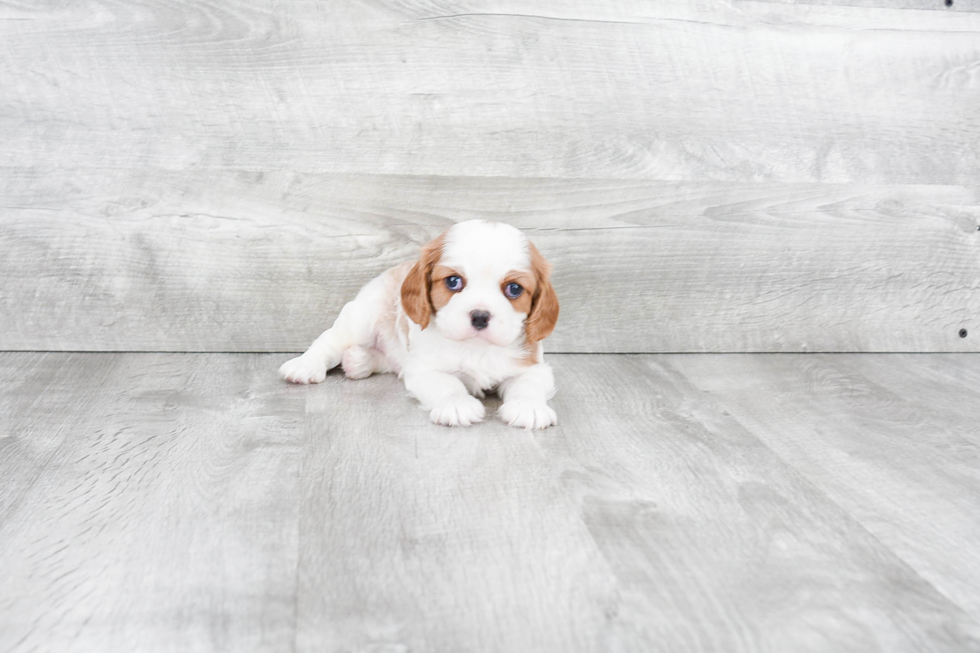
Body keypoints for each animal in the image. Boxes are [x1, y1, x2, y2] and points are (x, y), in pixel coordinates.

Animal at [280, 222, 564, 430]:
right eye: (453, 282)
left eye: (514, 289)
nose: (480, 316)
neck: (475, 348)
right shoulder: (424, 369)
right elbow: (447, 384)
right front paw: (457, 404)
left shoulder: (534, 366)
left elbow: (528, 385)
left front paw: (528, 407)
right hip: (363, 317)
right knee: (331, 340)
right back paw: (306, 365)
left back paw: (359, 361)